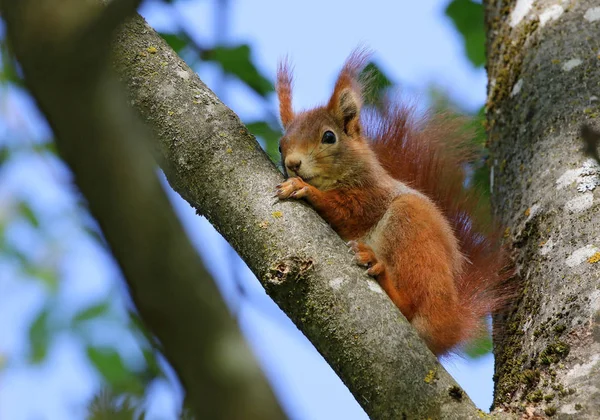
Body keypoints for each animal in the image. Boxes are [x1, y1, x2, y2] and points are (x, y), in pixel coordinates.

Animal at [272, 50, 510, 358]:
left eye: (329, 137)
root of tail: (451, 322)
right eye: (280, 145)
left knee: (413, 304)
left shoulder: (373, 197)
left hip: (412, 229)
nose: (292, 163)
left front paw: (304, 188)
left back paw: (381, 272)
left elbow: (345, 211)